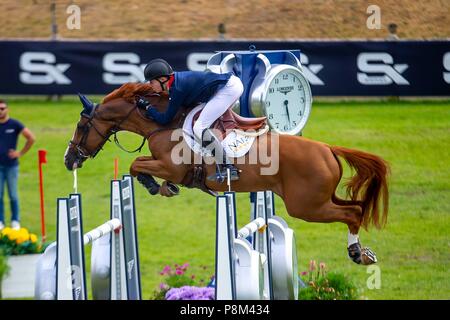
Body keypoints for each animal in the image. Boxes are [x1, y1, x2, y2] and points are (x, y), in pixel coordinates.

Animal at [64, 82, 390, 264]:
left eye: (80, 126)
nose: (69, 160)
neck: (162, 123)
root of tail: (327, 148)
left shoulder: (172, 166)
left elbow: (136, 166)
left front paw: (157, 186)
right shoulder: (163, 163)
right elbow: (140, 162)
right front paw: (163, 187)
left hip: (307, 206)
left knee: (351, 213)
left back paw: (357, 254)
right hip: (320, 199)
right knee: (357, 207)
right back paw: (363, 252)